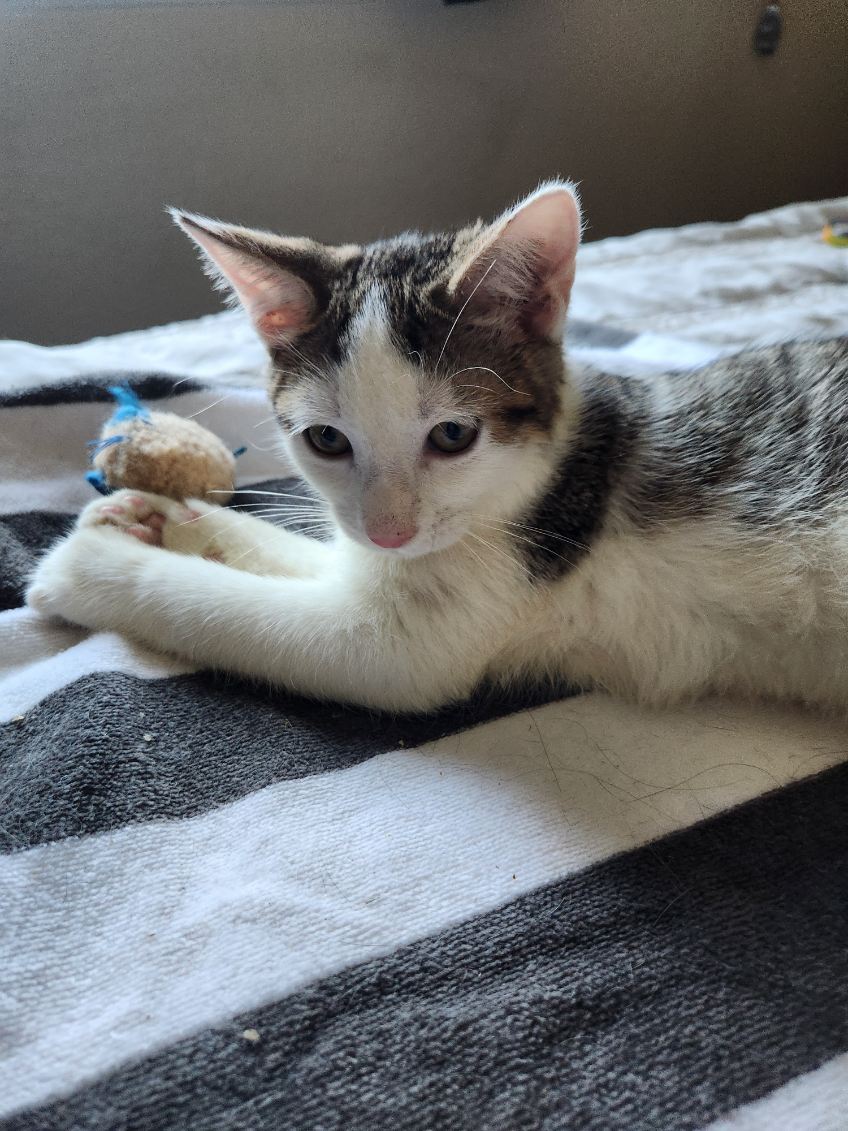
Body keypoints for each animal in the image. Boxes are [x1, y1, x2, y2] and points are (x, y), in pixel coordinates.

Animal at [24, 185, 848, 714]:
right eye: (326, 439)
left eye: (454, 435)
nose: (391, 532)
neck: (535, 480)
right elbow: (308, 555)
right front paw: (166, 518)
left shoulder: (412, 640)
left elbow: (218, 608)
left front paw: (93, 565)